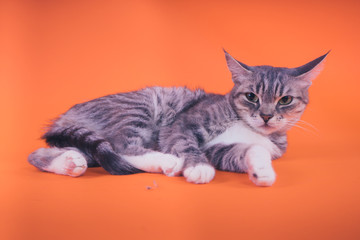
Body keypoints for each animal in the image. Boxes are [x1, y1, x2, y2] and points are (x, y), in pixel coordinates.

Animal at [28, 49, 328, 187]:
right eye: (251, 96)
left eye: (285, 100)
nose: (266, 116)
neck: (247, 126)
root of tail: (65, 115)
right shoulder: (181, 125)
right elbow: (186, 144)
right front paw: (198, 167)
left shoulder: (220, 149)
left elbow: (252, 150)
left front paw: (261, 171)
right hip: (142, 106)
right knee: (123, 146)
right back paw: (166, 161)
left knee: (40, 154)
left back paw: (68, 163)